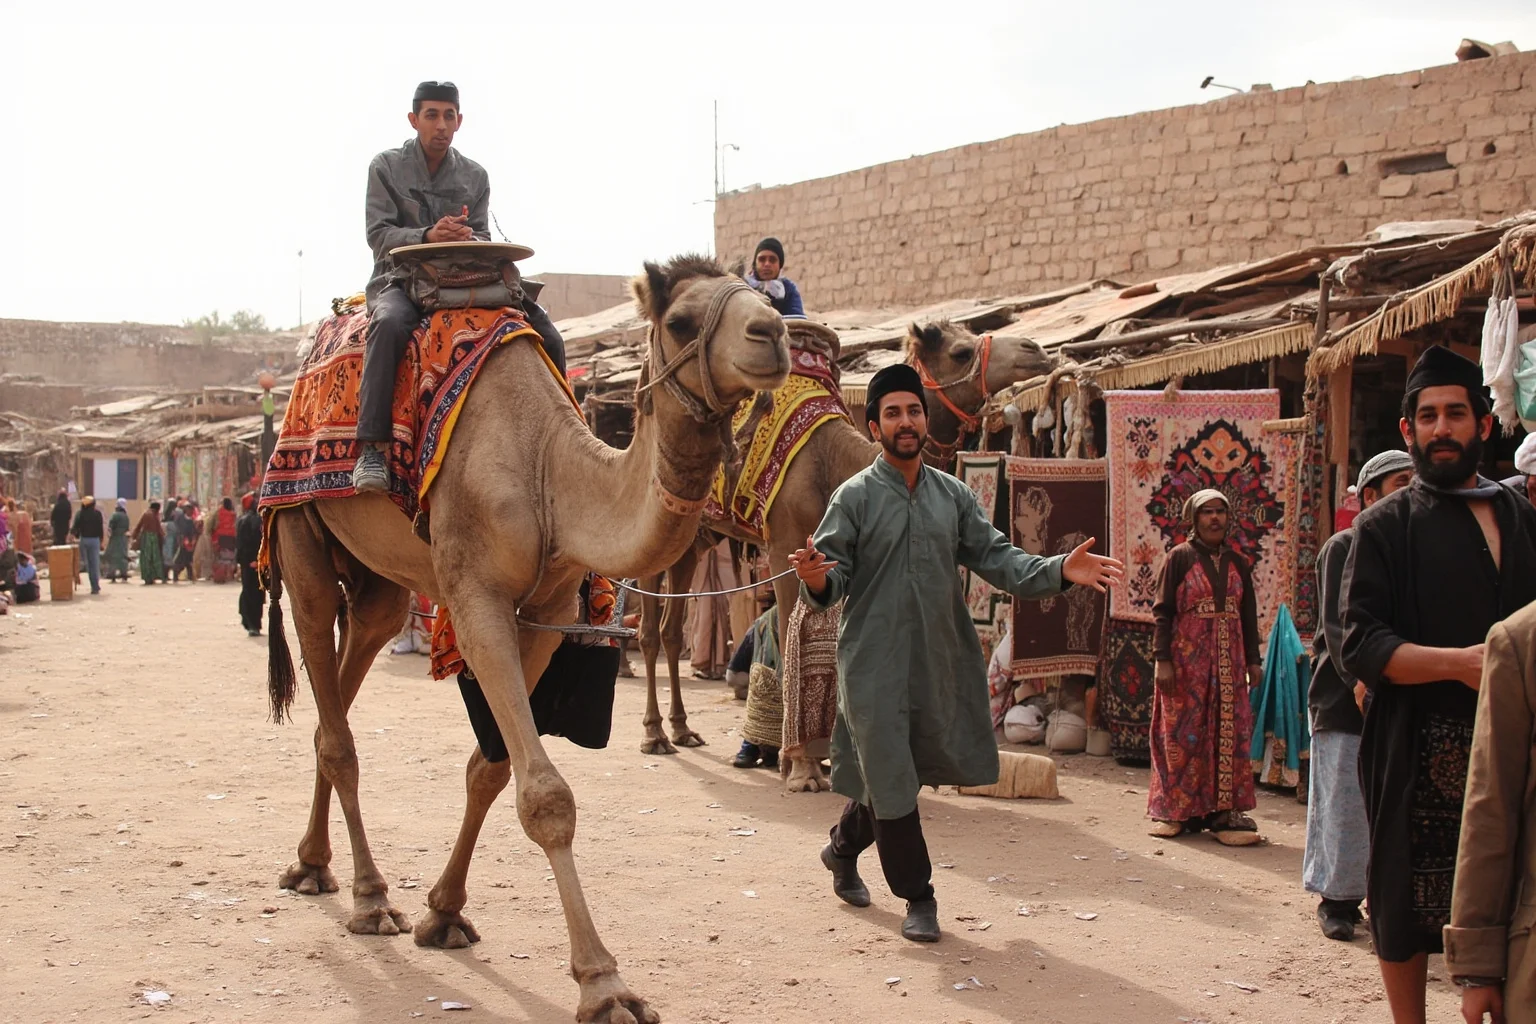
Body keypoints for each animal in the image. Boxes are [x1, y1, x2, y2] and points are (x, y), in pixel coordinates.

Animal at [263, 256, 789, 1024]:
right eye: (680, 321)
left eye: (758, 296)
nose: (774, 334)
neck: (548, 471)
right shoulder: (475, 597)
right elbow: (546, 796)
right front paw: (606, 986)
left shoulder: (545, 607)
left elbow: (491, 770)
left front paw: (445, 912)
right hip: (299, 526)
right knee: (336, 725)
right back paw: (370, 896)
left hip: (381, 583)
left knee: (346, 682)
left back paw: (310, 862)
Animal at [636, 319, 1057, 794]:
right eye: (961, 352)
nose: (1036, 350)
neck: (833, 461)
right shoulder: (783, 545)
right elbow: (787, 632)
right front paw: (800, 768)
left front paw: (819, 760)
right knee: (650, 630)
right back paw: (654, 735)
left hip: (697, 536)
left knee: (671, 630)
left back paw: (682, 729)